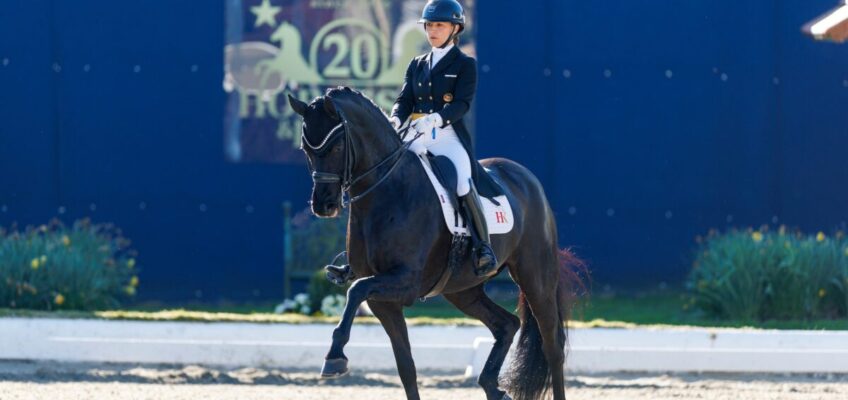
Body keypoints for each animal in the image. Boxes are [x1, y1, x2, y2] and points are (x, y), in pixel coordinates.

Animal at [287, 87, 583, 400]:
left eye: (335, 148)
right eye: (306, 150)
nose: (324, 205)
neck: (387, 191)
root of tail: (527, 178)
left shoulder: (405, 281)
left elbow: (355, 290)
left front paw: (334, 357)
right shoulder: (384, 300)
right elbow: (406, 366)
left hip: (535, 276)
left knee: (552, 345)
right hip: (462, 289)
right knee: (506, 324)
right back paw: (492, 386)